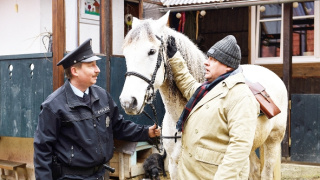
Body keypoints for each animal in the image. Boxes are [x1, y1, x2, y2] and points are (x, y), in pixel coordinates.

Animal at [119, 11, 288, 180]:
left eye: (152, 51)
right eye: (126, 54)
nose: (128, 102)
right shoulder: (174, 165)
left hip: (272, 141)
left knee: (266, 171)